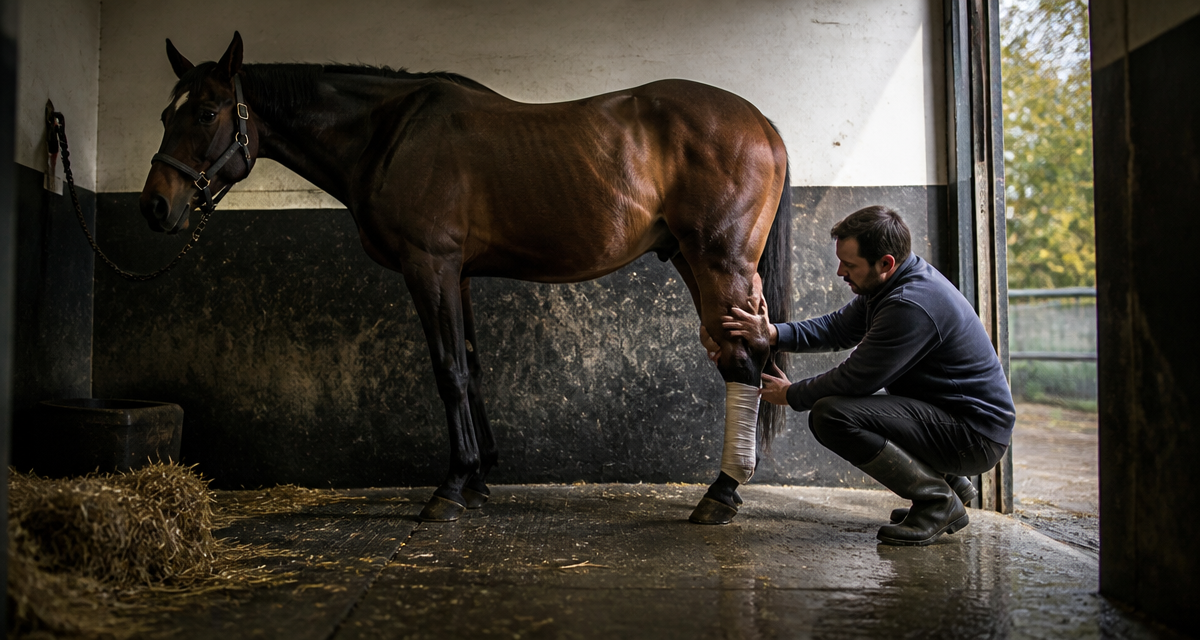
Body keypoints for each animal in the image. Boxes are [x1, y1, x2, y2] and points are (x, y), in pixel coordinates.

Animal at [139, 32, 793, 525]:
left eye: (205, 113)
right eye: (165, 114)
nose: (155, 207)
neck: (387, 134)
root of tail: (760, 120)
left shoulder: (429, 265)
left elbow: (448, 372)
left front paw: (450, 488)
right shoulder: (459, 275)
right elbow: (472, 368)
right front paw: (478, 477)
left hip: (717, 260)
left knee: (742, 359)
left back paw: (720, 495)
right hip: (692, 259)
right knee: (751, 352)